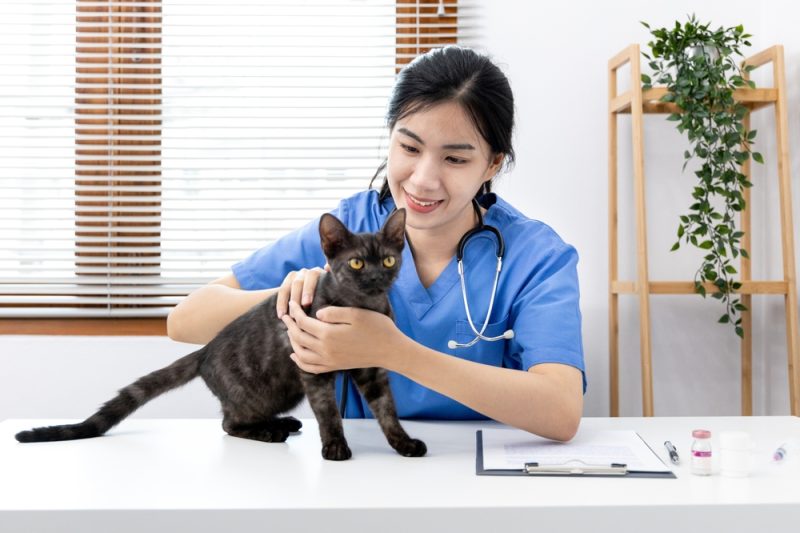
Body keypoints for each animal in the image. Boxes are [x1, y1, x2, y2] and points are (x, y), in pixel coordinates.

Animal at [15, 210, 424, 460]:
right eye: (356, 263)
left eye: (389, 259)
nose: (376, 277)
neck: (363, 309)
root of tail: (205, 350)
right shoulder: (312, 368)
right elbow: (327, 413)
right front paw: (336, 446)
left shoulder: (372, 368)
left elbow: (386, 409)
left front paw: (402, 443)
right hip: (268, 390)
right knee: (229, 424)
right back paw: (271, 431)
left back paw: (281, 424)